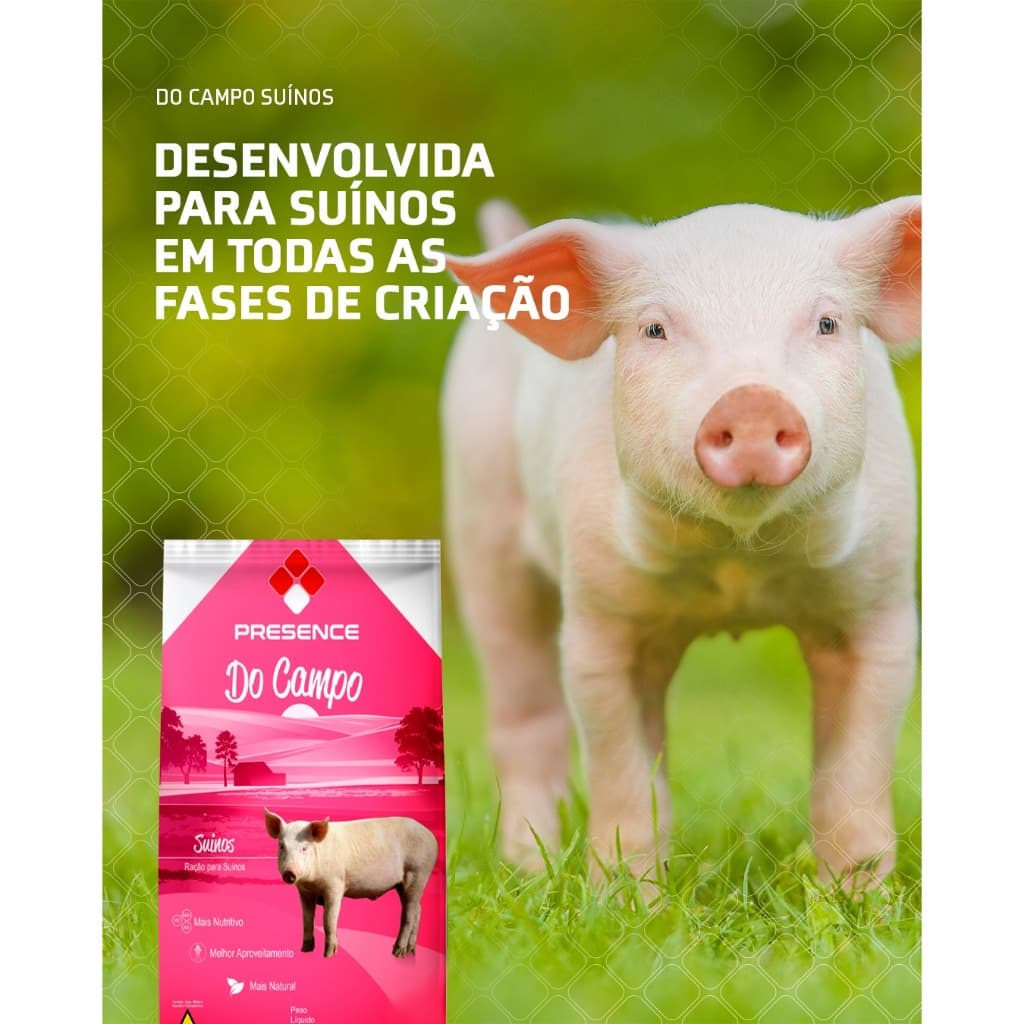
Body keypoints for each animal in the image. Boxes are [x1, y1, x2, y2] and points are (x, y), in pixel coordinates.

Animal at [263, 810, 438, 957]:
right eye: (281, 846)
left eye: (304, 848)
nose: (289, 873)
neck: (312, 882)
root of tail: (431, 836)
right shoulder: (305, 891)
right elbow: (306, 919)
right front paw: (305, 950)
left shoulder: (335, 884)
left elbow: (329, 920)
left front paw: (328, 955)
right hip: (404, 884)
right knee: (418, 910)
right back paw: (411, 951)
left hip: (418, 872)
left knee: (409, 913)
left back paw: (397, 952)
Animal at [442, 196, 921, 888]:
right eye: (654, 330)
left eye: (827, 322)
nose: (752, 403)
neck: (739, 566)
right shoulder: (598, 616)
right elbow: (622, 773)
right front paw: (625, 901)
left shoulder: (880, 604)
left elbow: (854, 776)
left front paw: (860, 901)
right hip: (481, 528)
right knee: (524, 717)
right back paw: (529, 872)